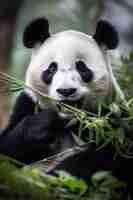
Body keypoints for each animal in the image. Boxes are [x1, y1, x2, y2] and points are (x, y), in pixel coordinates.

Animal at [0, 16, 132, 197]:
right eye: (51, 69)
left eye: (82, 68)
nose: (66, 91)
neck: (69, 119)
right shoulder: (27, 104)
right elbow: (7, 150)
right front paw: (41, 128)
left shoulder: (113, 118)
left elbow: (108, 157)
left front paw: (51, 181)